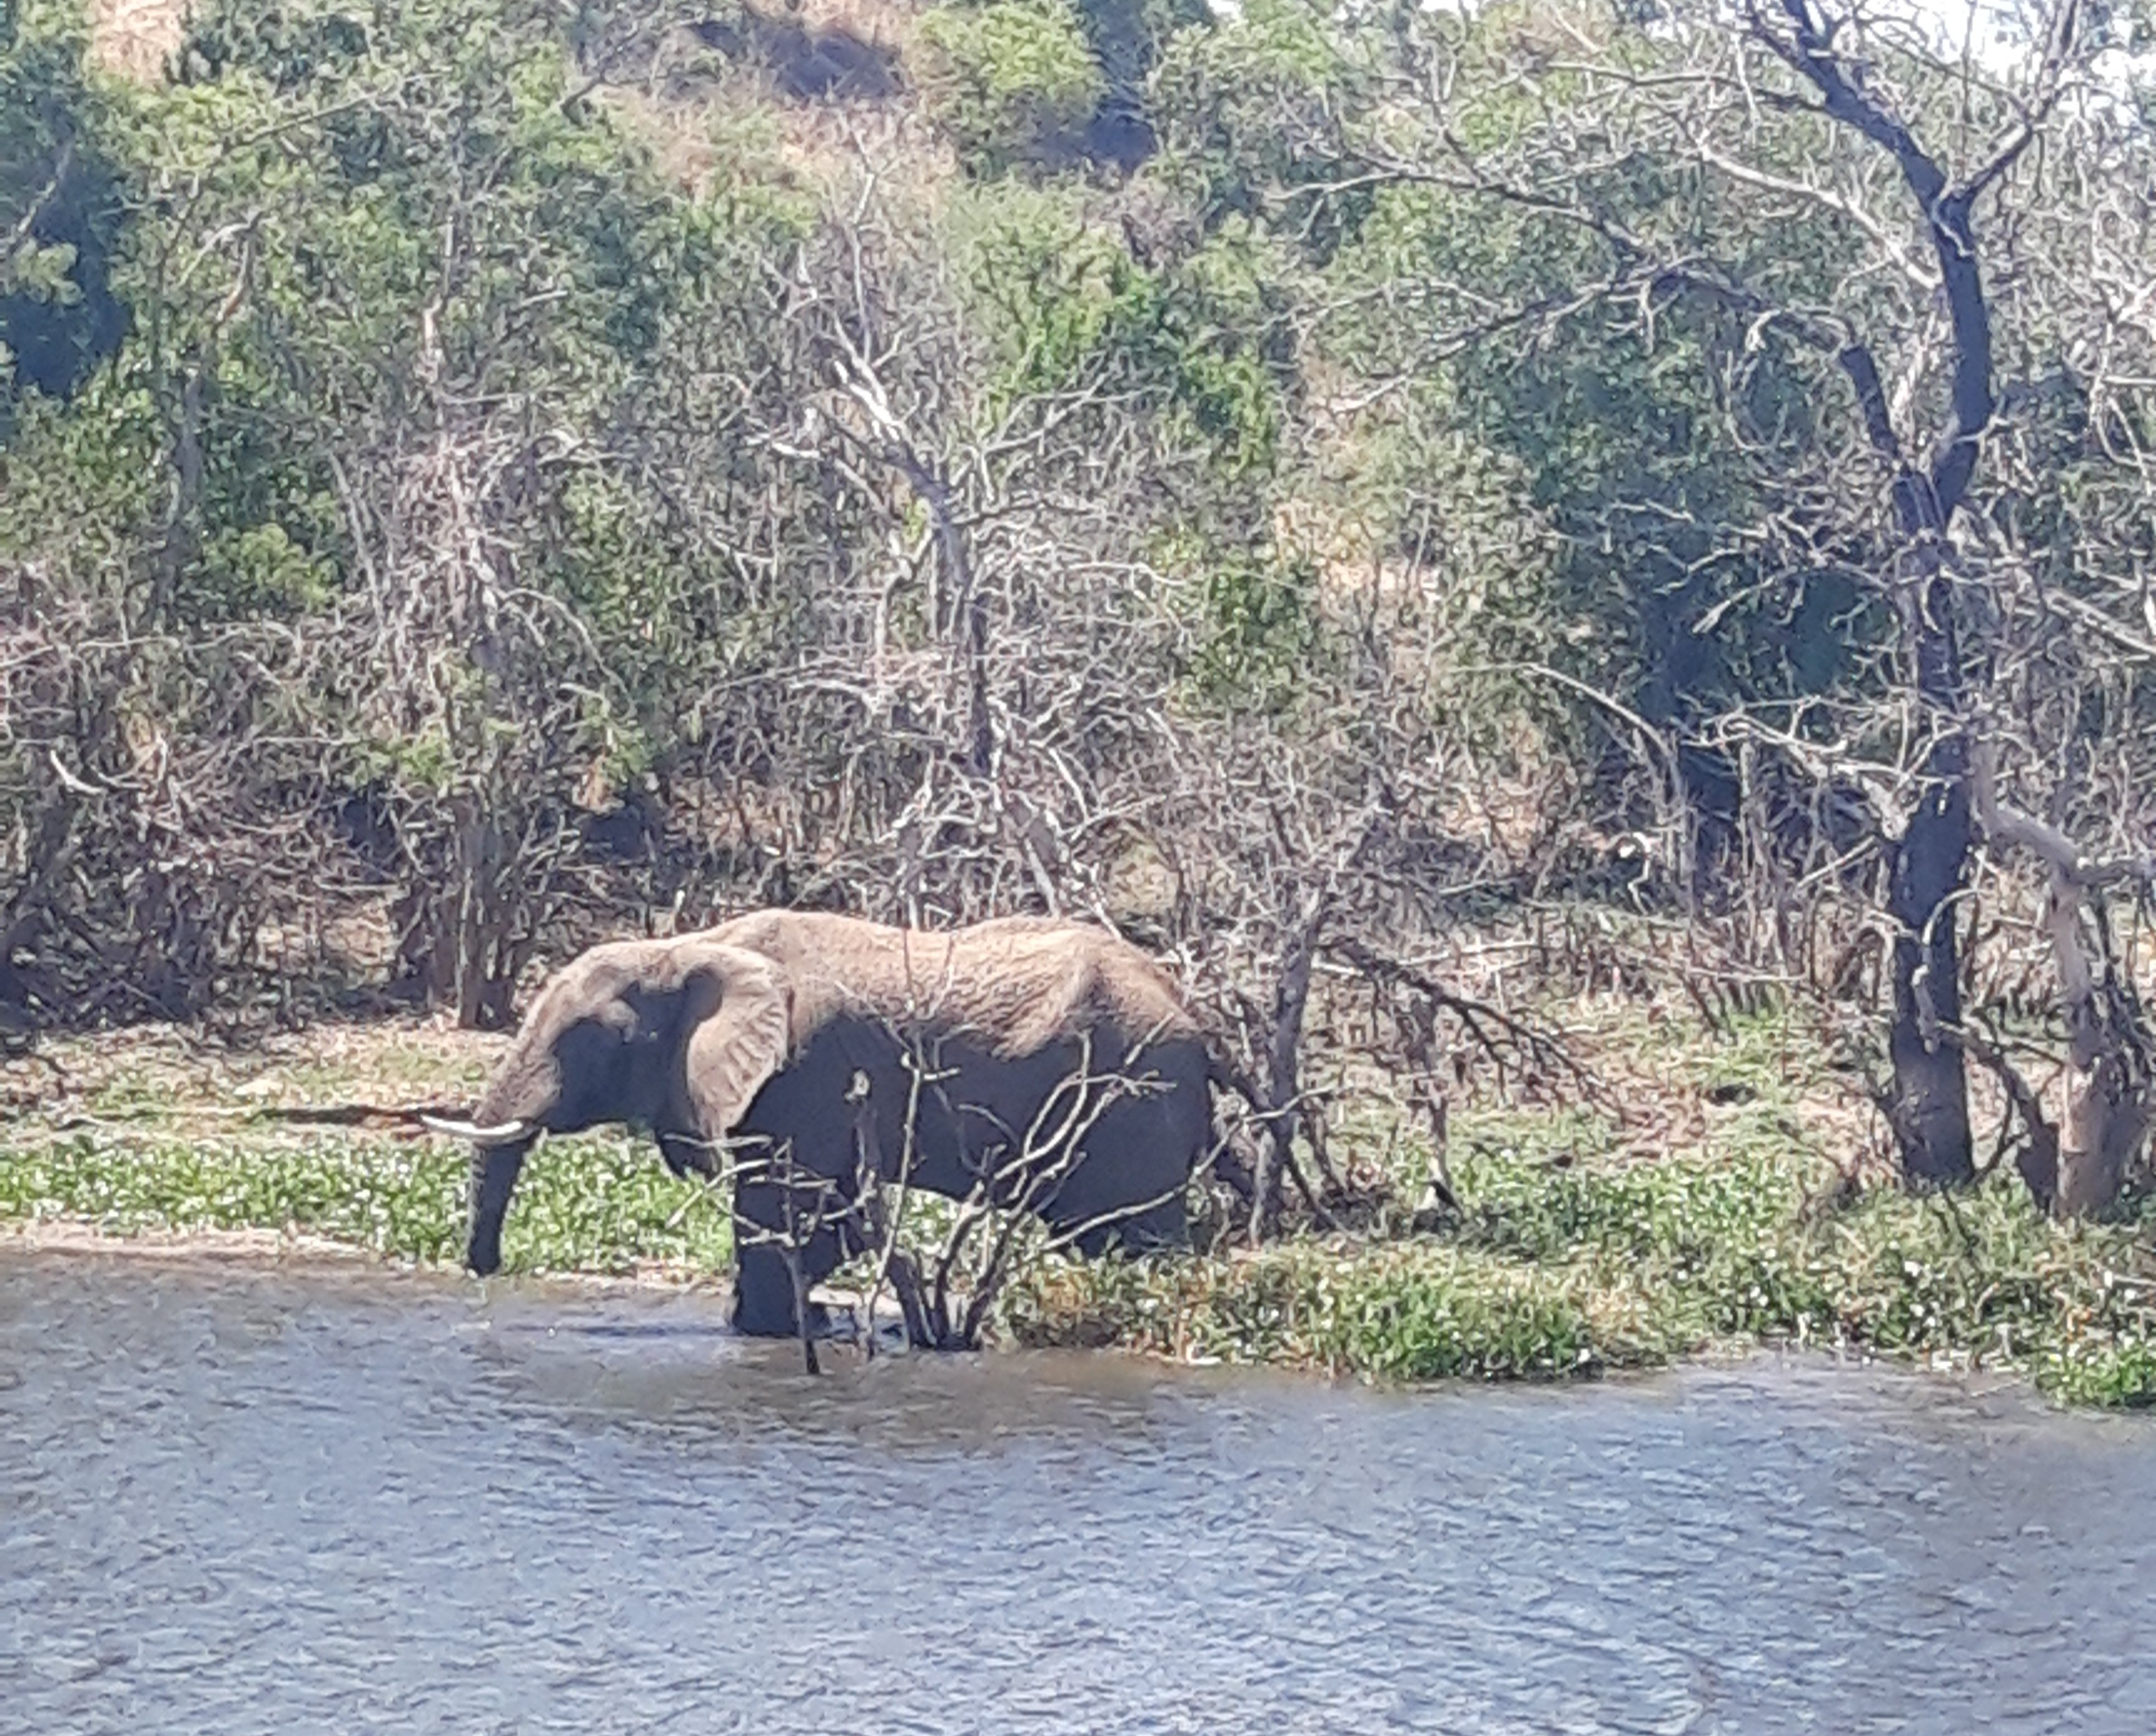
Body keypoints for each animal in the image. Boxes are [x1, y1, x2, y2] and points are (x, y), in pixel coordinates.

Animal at [424, 914, 1216, 1337]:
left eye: (589, 1039)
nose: (486, 1272)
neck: (688, 946)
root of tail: (1193, 1012)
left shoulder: (801, 1073)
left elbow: (778, 1209)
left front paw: (760, 1327)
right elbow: (828, 1219)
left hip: (1135, 1107)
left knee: (1135, 1239)